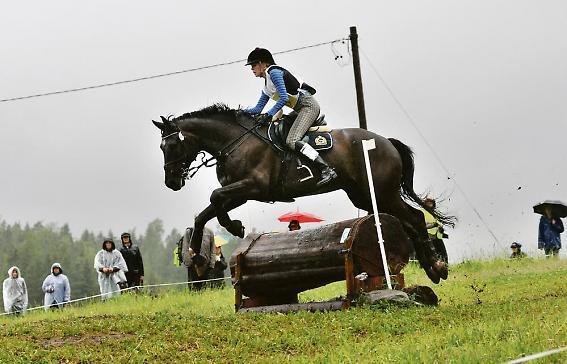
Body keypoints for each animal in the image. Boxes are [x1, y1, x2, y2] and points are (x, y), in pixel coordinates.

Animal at [153, 104, 454, 282]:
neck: (234, 142)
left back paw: (437, 267)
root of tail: (386, 142)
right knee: (409, 222)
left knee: (415, 218)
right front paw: (197, 255)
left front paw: (235, 227)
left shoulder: (253, 186)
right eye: (161, 148)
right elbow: (206, 212)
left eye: (173, 146)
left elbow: (215, 197)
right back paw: (432, 268)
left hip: (381, 191)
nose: (171, 182)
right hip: (366, 195)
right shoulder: (239, 193)